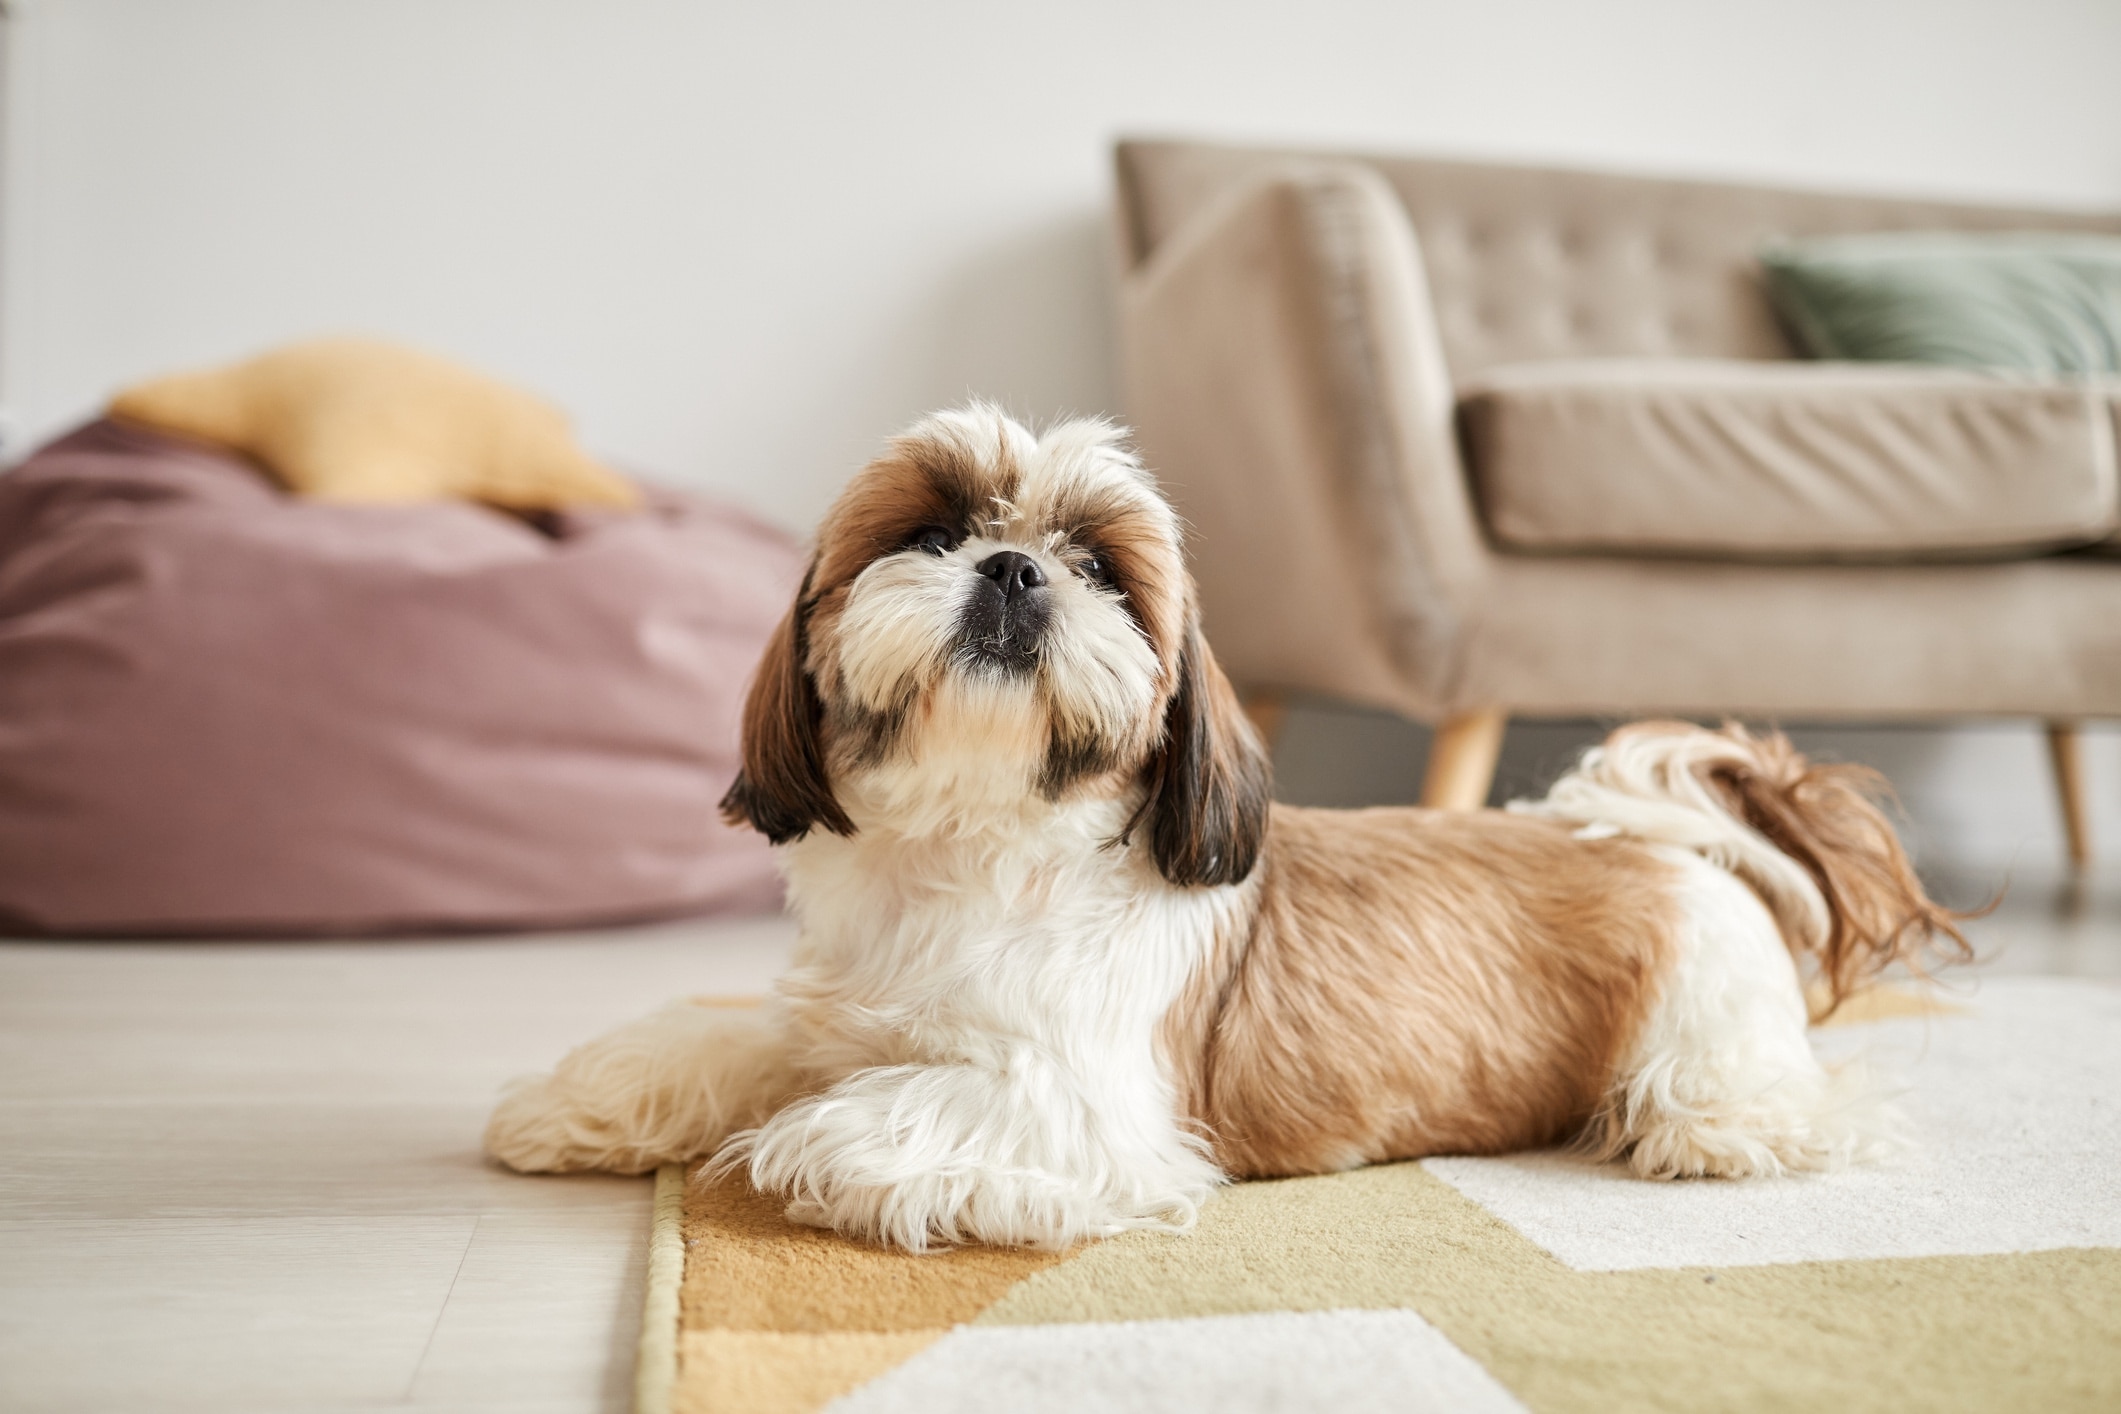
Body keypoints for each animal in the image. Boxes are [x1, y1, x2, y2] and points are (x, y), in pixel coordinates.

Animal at [485, 407, 1968, 1246]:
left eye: (1098, 566)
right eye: (934, 530)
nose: (1013, 568)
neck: (978, 849)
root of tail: (1680, 846)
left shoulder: (1079, 1106)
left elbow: (861, 1113)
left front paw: (799, 1146)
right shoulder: (833, 1015)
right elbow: (739, 1041)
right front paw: (587, 1099)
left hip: (1701, 1045)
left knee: (1748, 1106)